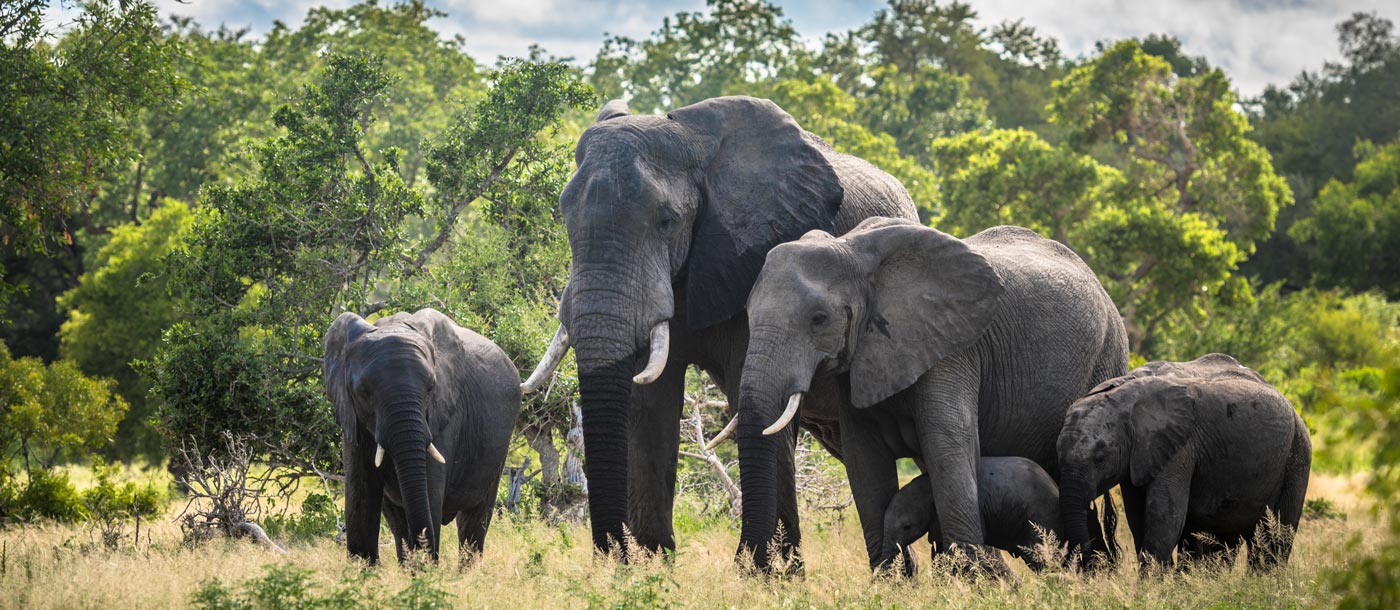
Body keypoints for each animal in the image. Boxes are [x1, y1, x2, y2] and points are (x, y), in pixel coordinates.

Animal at [324, 309, 523, 568]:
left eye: (431, 387)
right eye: (363, 392)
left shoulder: (444, 413)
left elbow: (429, 491)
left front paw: (424, 572)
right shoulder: (352, 418)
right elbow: (361, 494)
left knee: (473, 521)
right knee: (398, 522)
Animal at [526, 94, 918, 562]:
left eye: (666, 220)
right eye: (565, 216)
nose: (612, 556)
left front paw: (769, 571)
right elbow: (650, 403)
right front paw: (652, 564)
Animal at [1058, 352, 1310, 570]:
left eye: (1100, 458)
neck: (1126, 390)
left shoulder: (1179, 448)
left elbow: (1164, 517)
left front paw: (1151, 586)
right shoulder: (1139, 456)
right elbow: (1137, 516)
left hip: (1297, 456)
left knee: (1275, 537)